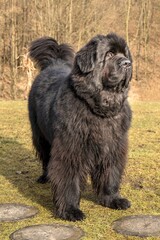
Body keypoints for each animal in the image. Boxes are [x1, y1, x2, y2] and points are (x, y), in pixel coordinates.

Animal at [28, 33, 132, 221]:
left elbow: (110, 174)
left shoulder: (113, 147)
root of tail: (54, 63)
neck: (100, 110)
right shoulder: (71, 149)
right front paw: (70, 210)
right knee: (45, 157)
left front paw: (113, 199)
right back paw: (44, 177)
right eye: (109, 54)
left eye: (125, 54)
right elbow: (69, 179)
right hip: (40, 136)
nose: (127, 63)